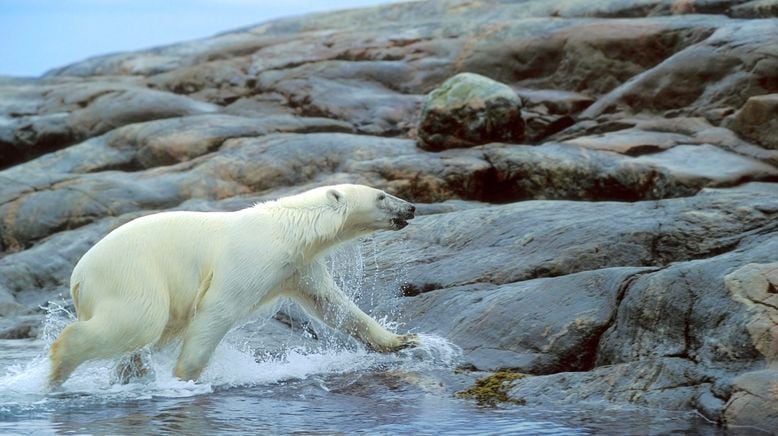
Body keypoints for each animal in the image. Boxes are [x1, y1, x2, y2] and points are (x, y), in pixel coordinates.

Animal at [48, 182, 418, 386]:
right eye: (382, 196)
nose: (411, 207)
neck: (289, 227)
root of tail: (78, 277)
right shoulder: (250, 257)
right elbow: (218, 308)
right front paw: (184, 376)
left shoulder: (297, 266)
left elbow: (331, 304)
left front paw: (403, 340)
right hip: (130, 273)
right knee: (139, 321)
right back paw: (60, 365)